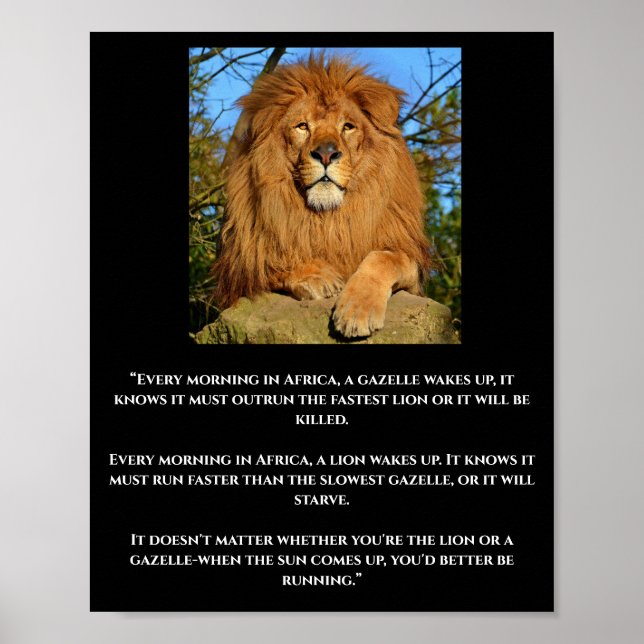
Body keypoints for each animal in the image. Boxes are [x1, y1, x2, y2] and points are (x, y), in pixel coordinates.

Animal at [213, 55, 432, 338]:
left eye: (347, 127)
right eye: (302, 127)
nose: (326, 154)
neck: (328, 219)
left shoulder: (410, 264)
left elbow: (383, 258)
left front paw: (357, 311)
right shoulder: (242, 268)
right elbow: (273, 262)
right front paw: (319, 276)